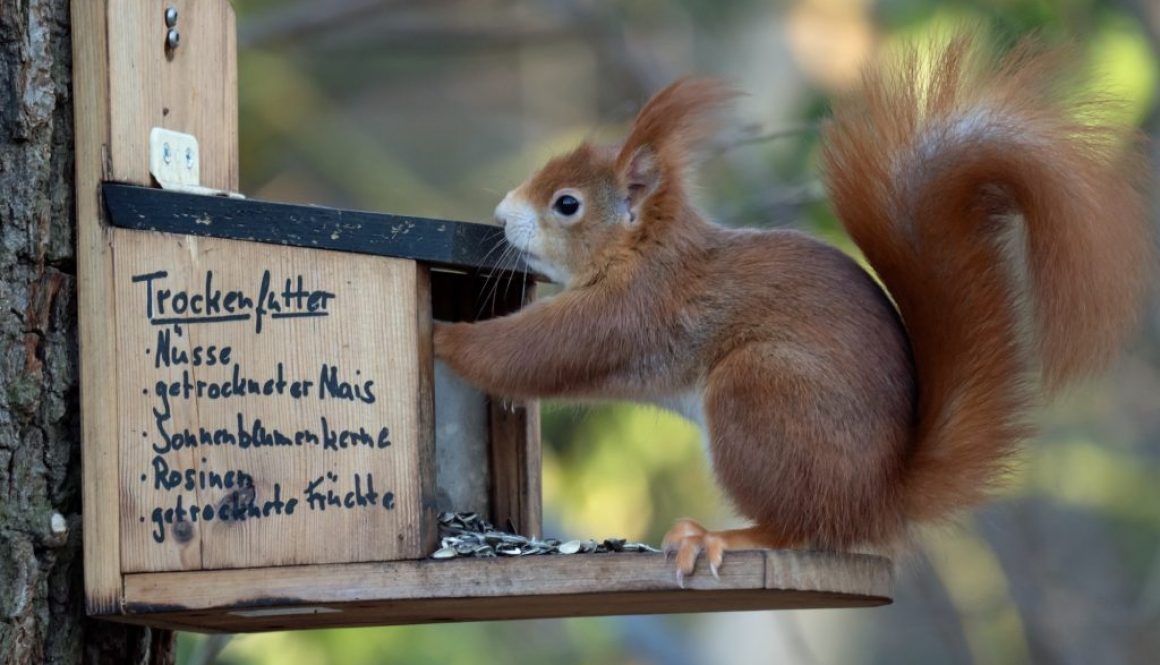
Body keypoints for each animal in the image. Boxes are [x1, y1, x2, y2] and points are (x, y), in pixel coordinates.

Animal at [433, 33, 1150, 577]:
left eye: (567, 204)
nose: (500, 214)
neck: (645, 249)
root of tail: (876, 499)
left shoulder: (638, 307)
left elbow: (544, 349)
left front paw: (442, 336)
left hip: (760, 392)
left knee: (798, 526)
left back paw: (719, 537)